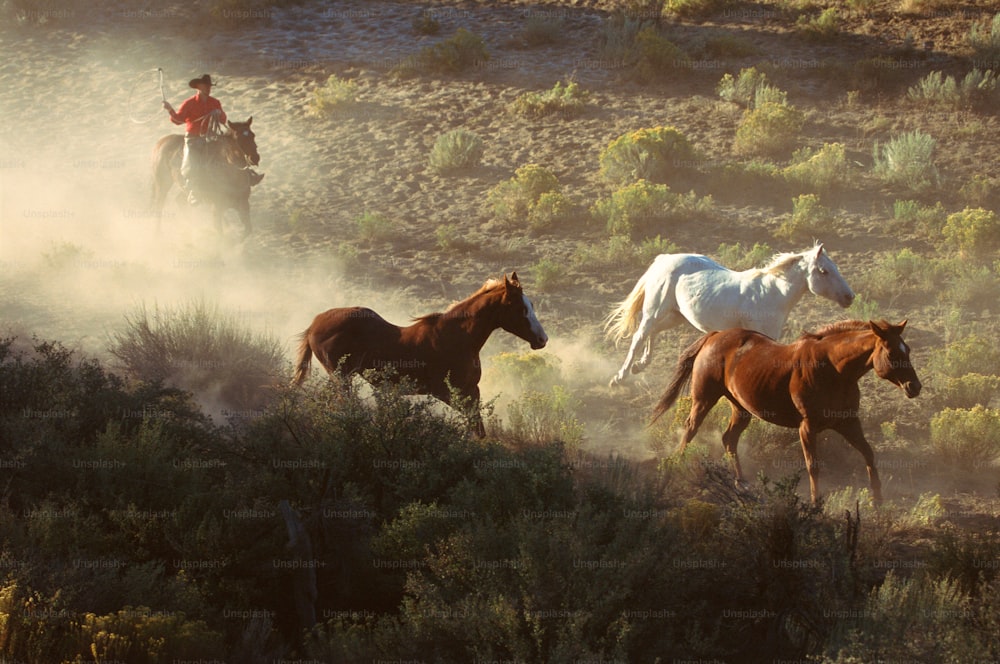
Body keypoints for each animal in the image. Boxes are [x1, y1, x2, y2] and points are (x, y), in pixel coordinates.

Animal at [292, 274, 552, 436]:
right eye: (520, 308)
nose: (542, 339)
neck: (457, 338)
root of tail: (314, 324)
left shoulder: (472, 391)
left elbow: (478, 429)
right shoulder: (448, 392)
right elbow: (474, 428)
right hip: (341, 376)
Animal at [604, 244, 856, 386]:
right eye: (824, 271)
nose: (849, 297)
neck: (771, 294)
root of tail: (664, 259)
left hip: (677, 315)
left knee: (653, 333)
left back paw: (640, 366)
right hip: (654, 310)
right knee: (638, 337)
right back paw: (619, 377)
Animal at [648, 322, 920, 504]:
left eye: (908, 350)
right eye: (892, 353)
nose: (915, 387)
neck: (834, 369)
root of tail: (714, 336)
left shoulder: (848, 422)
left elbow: (869, 454)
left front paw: (878, 501)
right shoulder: (807, 427)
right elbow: (813, 466)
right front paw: (815, 502)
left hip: (741, 409)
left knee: (729, 439)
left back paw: (741, 483)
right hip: (704, 399)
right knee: (690, 430)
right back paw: (675, 468)